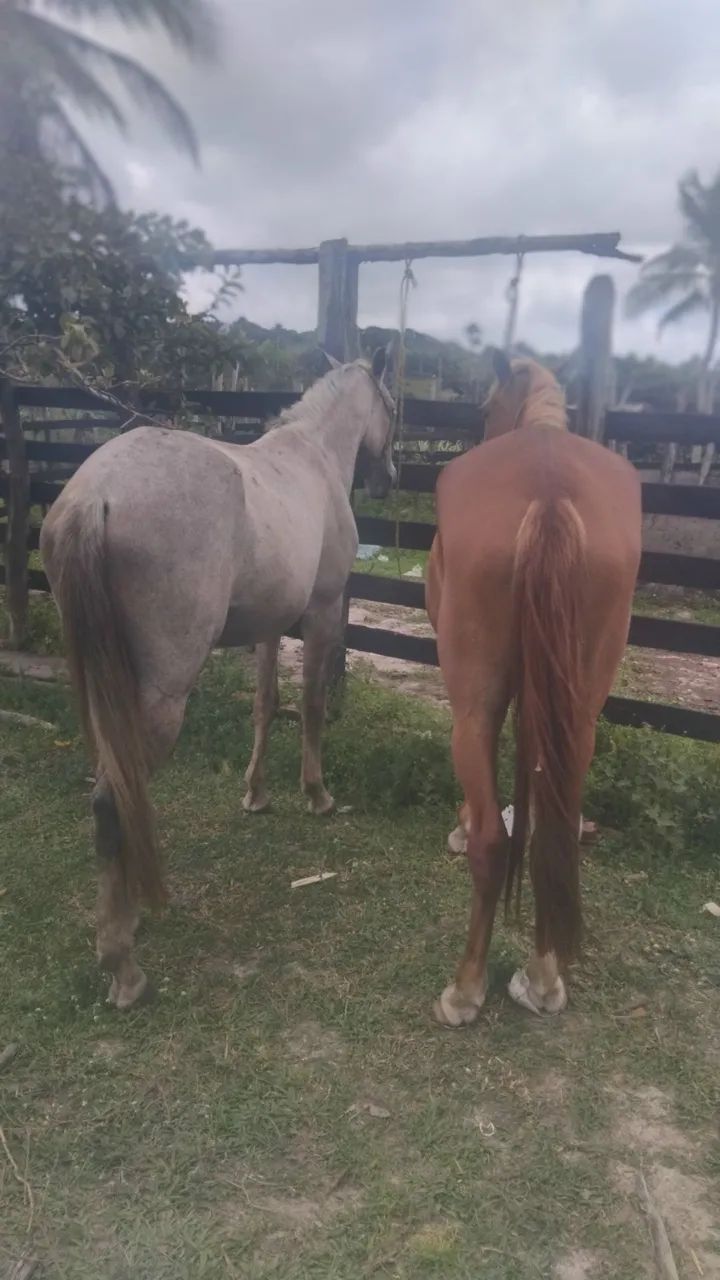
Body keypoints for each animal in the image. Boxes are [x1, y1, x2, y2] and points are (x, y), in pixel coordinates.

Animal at [40, 349, 395, 1009]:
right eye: (391, 404)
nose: (389, 475)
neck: (314, 455)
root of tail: (92, 498)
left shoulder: (269, 627)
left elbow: (265, 703)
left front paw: (256, 794)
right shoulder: (321, 615)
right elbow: (310, 706)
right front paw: (317, 795)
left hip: (107, 691)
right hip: (161, 698)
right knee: (110, 802)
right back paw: (123, 966)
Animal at [426, 351, 641, 1027]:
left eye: (483, 407)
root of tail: (548, 492)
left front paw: (462, 821)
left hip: (472, 710)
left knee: (494, 844)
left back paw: (465, 990)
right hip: (580, 714)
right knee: (555, 827)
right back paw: (545, 979)